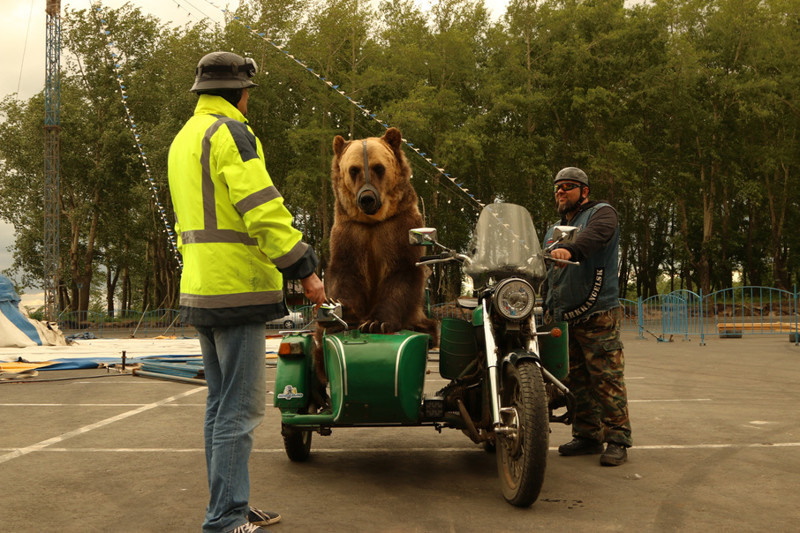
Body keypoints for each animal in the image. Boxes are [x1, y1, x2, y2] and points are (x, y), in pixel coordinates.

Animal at [312, 125, 438, 390]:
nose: (367, 198)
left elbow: (400, 273)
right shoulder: (350, 232)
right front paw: (341, 313)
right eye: (354, 170)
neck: (373, 222)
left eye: (379, 168)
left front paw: (375, 322)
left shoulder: (398, 227)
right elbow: (346, 274)